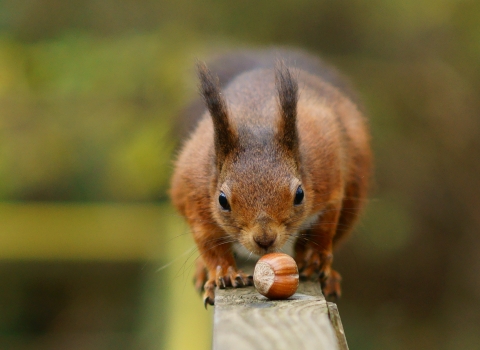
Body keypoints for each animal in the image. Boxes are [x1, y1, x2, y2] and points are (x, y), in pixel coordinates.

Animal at [169, 47, 372, 304]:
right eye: (222, 200)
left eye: (299, 194)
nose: (265, 239)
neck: (257, 124)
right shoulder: (196, 197)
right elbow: (209, 244)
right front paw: (224, 273)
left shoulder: (328, 178)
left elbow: (325, 227)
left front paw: (315, 257)